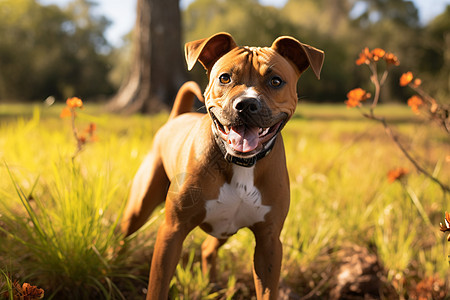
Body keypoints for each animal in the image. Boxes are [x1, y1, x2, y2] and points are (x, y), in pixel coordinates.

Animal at [120, 31, 324, 298]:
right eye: (225, 77)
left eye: (276, 81)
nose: (246, 104)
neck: (241, 164)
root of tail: (177, 117)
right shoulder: (172, 231)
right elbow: (158, 287)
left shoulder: (269, 244)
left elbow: (267, 289)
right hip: (139, 207)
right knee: (123, 235)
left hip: (226, 226)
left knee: (208, 248)